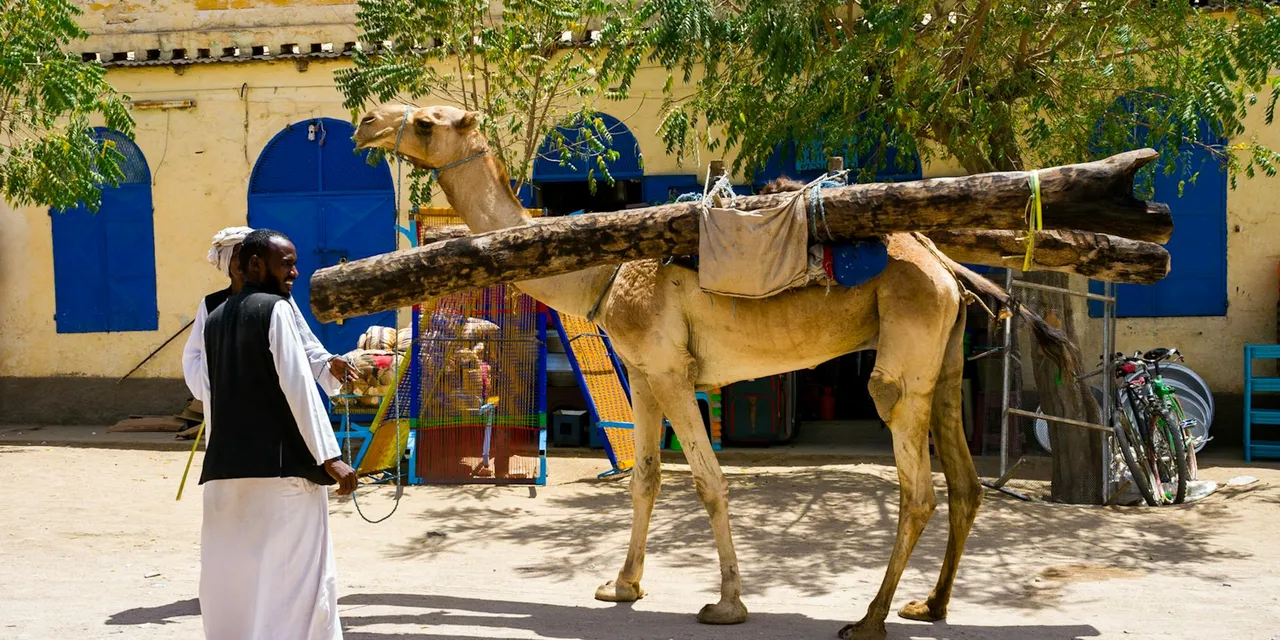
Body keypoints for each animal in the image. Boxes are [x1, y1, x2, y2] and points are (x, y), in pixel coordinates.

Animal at [352, 104, 1076, 639]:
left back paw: (869, 619)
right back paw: (931, 605)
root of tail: (944, 264)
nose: (366, 122)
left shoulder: (672, 373)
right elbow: (643, 477)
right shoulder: (642, 373)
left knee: (916, 482)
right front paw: (622, 586)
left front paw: (726, 604)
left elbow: (708, 482)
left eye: (426, 121)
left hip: (905, 352)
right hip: (944, 358)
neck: (603, 271)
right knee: (965, 483)